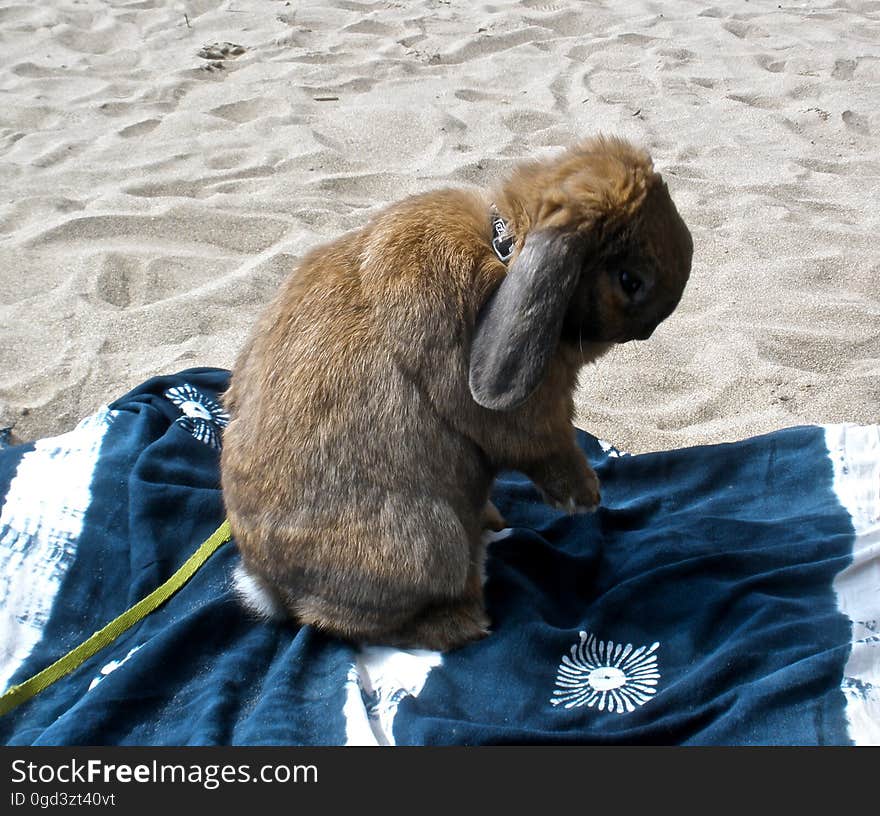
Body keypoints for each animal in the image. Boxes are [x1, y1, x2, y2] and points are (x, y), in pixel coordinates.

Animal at [220, 137, 696, 652]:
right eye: (631, 280)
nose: (652, 328)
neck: (506, 253)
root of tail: (271, 587)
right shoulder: (535, 420)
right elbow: (547, 449)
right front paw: (586, 497)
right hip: (430, 539)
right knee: (354, 623)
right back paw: (466, 620)